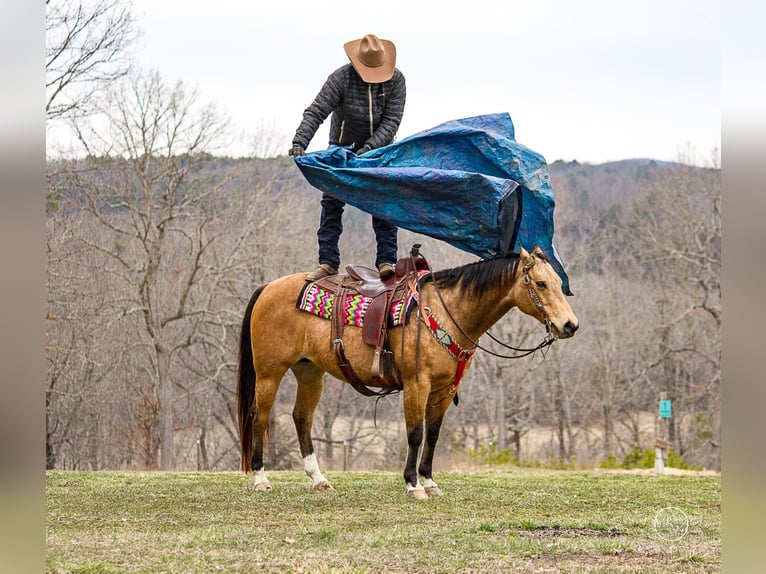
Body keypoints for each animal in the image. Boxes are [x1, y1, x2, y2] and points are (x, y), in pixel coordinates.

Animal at [237, 246, 580, 500]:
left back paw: (318, 478)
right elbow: (415, 434)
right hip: (269, 373)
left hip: (310, 372)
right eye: (540, 283)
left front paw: (429, 481)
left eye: (559, 282)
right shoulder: (418, 385)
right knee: (260, 417)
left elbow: (433, 435)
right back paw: (260, 478)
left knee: (302, 418)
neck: (447, 312)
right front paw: (413, 484)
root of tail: (268, 287)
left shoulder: (444, 390)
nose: (570, 325)